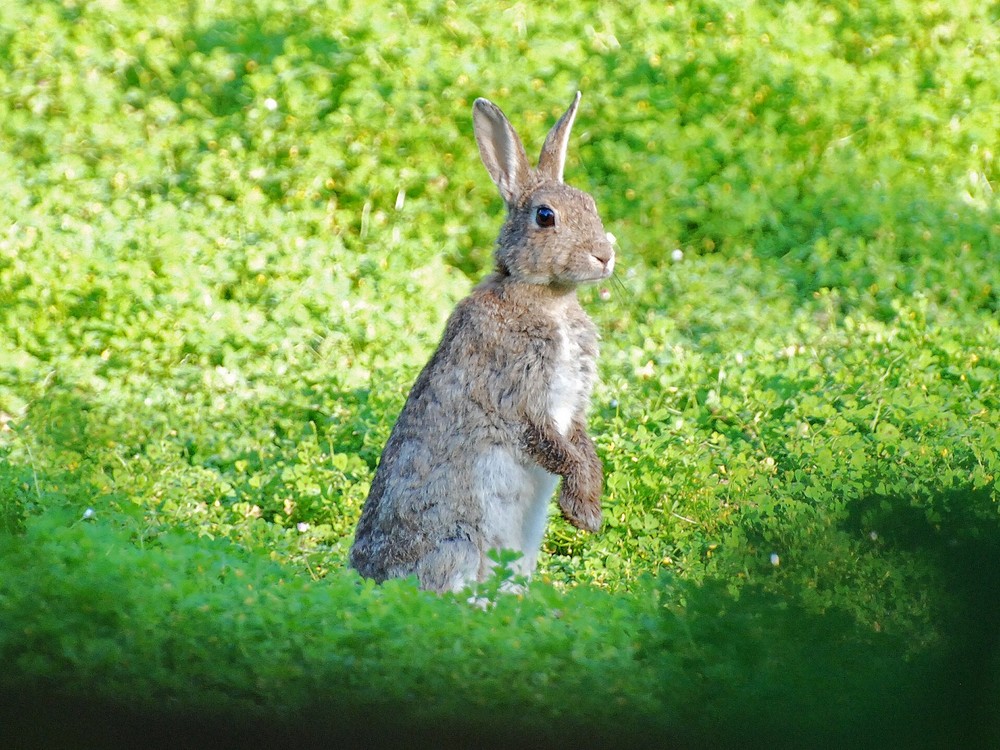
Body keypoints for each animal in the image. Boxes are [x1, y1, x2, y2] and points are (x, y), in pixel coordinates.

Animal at [352, 94, 616, 596]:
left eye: (592, 204)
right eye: (545, 216)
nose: (605, 256)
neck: (547, 298)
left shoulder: (572, 405)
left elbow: (582, 446)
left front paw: (588, 510)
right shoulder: (520, 395)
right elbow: (554, 446)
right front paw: (583, 513)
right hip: (457, 543)